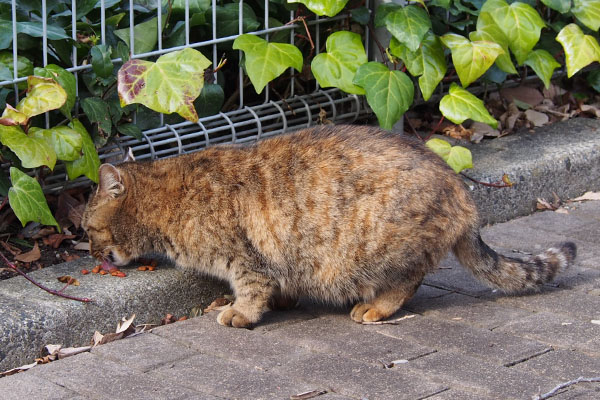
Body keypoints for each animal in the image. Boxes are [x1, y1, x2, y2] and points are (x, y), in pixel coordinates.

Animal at [82, 125, 576, 328]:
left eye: (86, 229)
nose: (89, 253)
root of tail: (460, 188)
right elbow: (277, 284)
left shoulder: (245, 258)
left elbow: (251, 289)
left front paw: (241, 313)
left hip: (383, 246)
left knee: (409, 279)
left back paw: (376, 307)